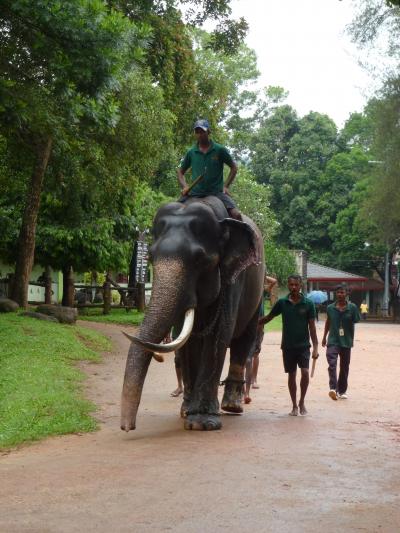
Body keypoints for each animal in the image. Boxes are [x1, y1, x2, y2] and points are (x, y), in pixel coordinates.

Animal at [122, 196, 266, 432]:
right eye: (150, 256)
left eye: (200, 260)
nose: (127, 426)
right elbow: (186, 340)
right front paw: (189, 413)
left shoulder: (233, 280)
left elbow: (218, 336)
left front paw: (202, 423)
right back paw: (187, 409)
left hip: (258, 290)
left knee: (244, 338)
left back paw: (233, 407)